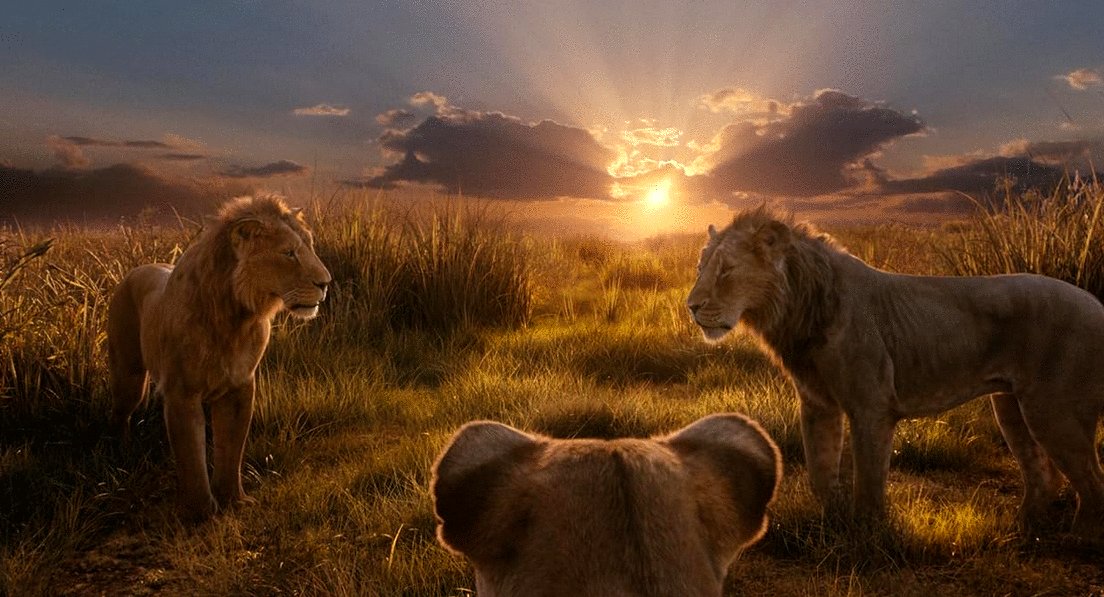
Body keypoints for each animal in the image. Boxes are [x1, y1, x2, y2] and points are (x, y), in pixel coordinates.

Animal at [107, 194, 331, 521]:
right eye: (289, 253)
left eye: (310, 247)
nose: (326, 283)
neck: (236, 318)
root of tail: (136, 269)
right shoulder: (182, 392)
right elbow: (191, 455)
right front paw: (200, 511)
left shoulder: (240, 387)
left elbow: (231, 448)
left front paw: (233, 500)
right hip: (129, 375)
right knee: (120, 414)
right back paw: (120, 456)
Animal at [687, 206, 1104, 539]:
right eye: (700, 267)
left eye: (725, 270)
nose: (690, 306)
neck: (798, 309)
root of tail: (1096, 304)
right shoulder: (818, 404)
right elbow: (820, 472)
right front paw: (833, 524)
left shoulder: (872, 407)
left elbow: (869, 483)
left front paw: (866, 536)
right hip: (1011, 406)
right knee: (1044, 474)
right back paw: (1024, 531)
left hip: (1053, 411)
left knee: (1091, 482)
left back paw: (1078, 541)